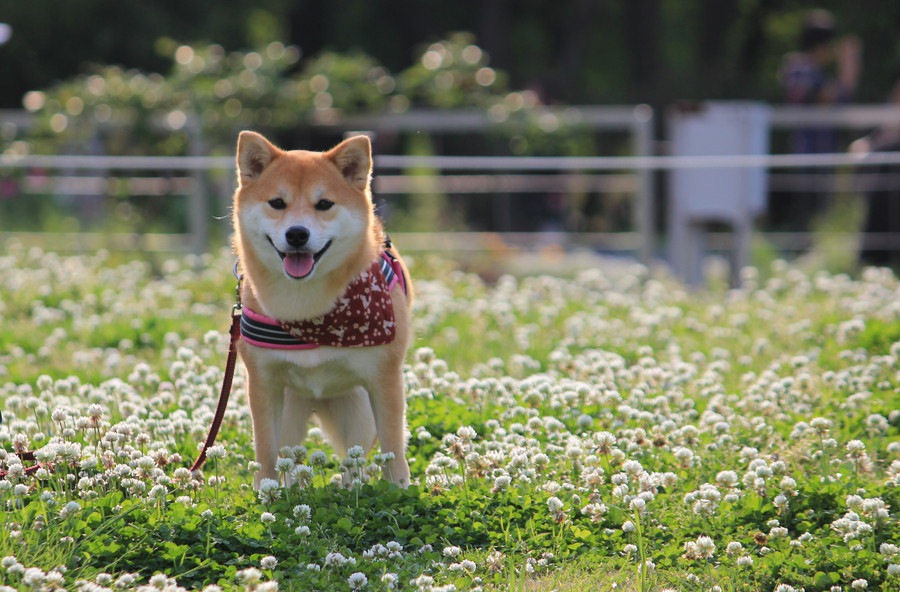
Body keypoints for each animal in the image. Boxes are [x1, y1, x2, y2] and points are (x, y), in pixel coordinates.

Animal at [232, 132, 414, 488]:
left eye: (324, 204)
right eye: (277, 203)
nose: (297, 233)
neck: (309, 313)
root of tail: (315, 402)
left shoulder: (384, 380)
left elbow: (393, 447)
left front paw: (398, 489)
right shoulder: (263, 383)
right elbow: (266, 452)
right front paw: (266, 493)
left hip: (358, 414)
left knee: (353, 461)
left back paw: (349, 486)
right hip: (292, 412)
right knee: (289, 457)